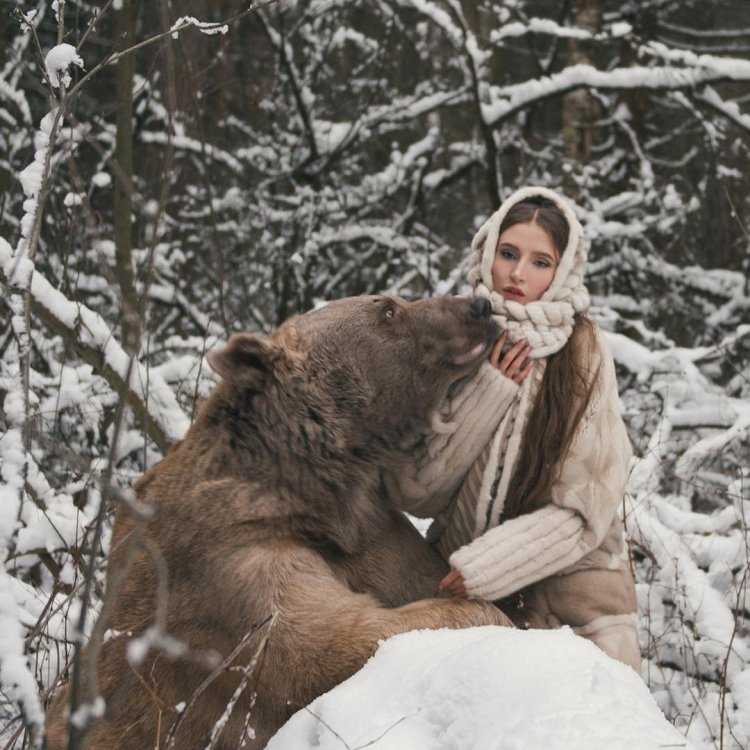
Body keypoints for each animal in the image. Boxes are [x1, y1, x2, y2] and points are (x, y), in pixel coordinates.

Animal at [45, 294, 511, 750]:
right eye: (389, 309)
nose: (479, 306)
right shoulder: (234, 576)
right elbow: (336, 641)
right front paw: (482, 613)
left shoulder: (371, 533)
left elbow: (416, 577)